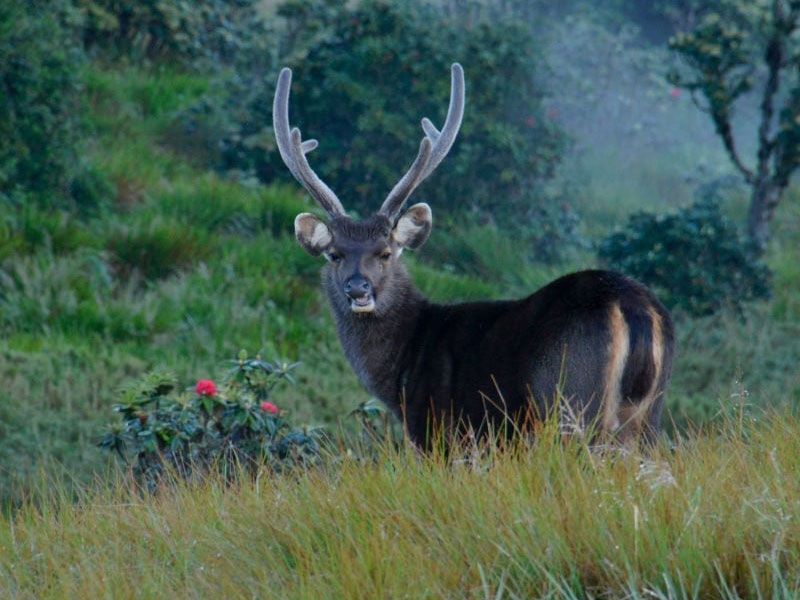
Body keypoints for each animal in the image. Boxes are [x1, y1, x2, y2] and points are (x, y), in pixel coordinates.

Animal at [272, 63, 672, 448]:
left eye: (385, 253)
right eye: (335, 254)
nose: (358, 288)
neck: (402, 366)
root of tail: (633, 307)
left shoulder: (437, 431)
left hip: (572, 402)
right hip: (647, 417)